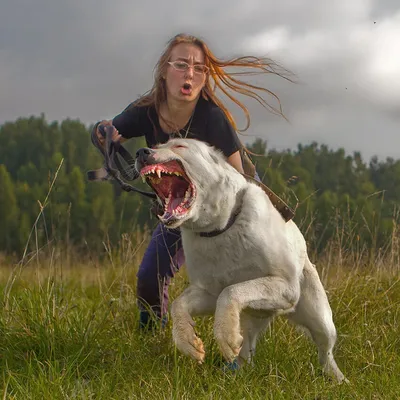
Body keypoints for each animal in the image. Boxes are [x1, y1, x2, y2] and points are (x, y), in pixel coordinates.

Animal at [135, 139, 346, 382]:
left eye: (179, 146)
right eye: (156, 144)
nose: (141, 151)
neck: (220, 228)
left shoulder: (285, 287)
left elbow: (232, 291)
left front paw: (225, 336)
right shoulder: (208, 293)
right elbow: (179, 304)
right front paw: (189, 342)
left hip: (319, 317)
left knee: (325, 351)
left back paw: (339, 379)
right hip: (253, 318)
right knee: (246, 351)